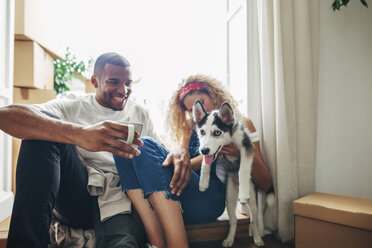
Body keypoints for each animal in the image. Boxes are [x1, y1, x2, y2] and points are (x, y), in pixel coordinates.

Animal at [195, 100, 264, 247]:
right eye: (202, 132)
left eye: (217, 132)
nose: (203, 150)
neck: (228, 140)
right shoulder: (213, 152)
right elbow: (206, 163)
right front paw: (203, 182)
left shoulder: (246, 146)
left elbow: (243, 169)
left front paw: (243, 193)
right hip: (230, 198)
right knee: (233, 221)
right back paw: (230, 239)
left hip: (253, 200)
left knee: (254, 220)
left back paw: (257, 238)